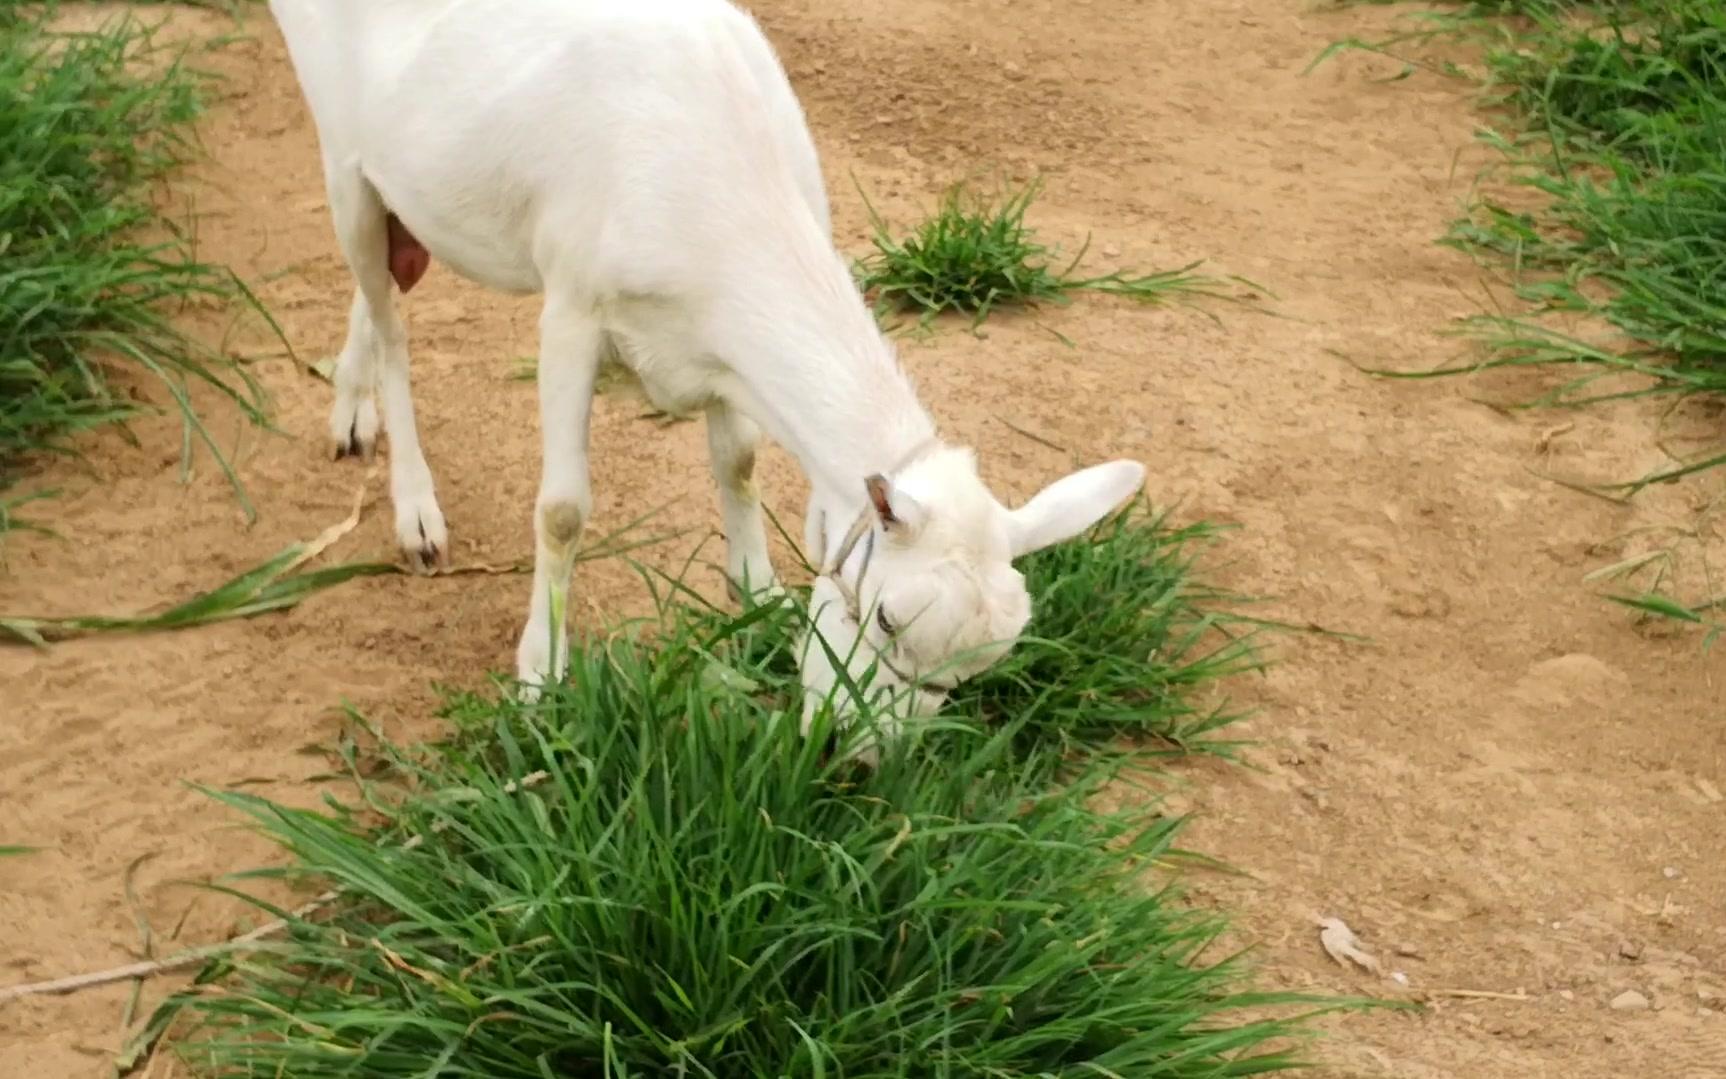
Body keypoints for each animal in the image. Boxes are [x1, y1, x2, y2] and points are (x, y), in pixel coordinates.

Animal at [265, 0, 1146, 738]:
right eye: (888, 620)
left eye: (970, 674)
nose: (855, 757)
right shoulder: (573, 309)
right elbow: (562, 511)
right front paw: (541, 673)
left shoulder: (722, 348)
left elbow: (741, 458)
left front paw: (758, 592)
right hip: (342, 157)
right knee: (391, 322)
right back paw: (415, 509)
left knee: (382, 282)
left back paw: (352, 406)